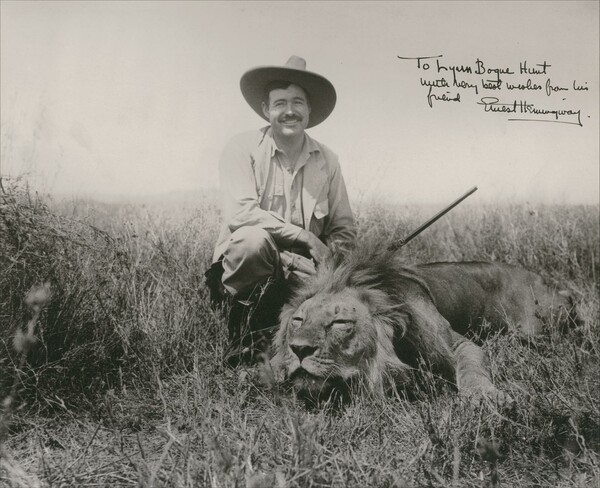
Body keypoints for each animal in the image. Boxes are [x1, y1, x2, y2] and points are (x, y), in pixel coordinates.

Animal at [270, 246, 576, 402]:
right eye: (298, 321)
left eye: (339, 322)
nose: (298, 349)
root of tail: (552, 285)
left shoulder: (460, 345)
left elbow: (471, 368)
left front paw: (485, 398)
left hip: (535, 332)